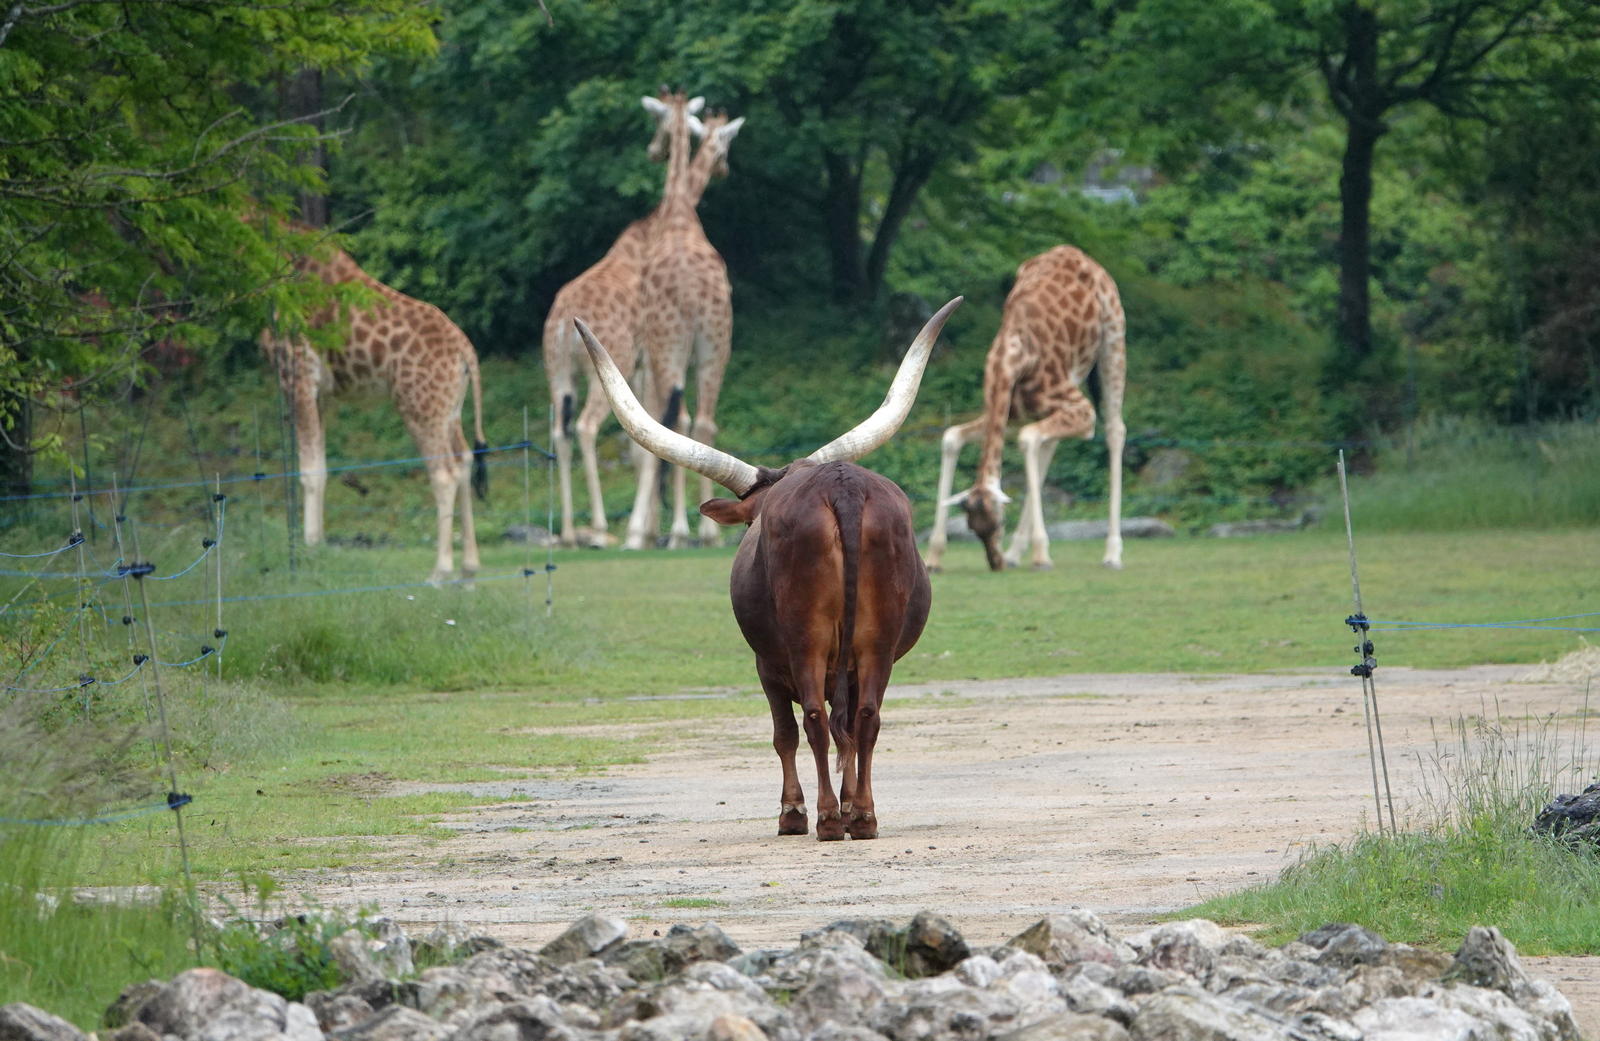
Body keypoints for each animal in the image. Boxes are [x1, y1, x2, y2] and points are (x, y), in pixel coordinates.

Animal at [260, 237, 488, 585]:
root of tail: (467, 355)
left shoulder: (298, 376)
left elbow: (309, 471)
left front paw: (309, 550)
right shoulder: (322, 393)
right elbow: (320, 466)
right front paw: (316, 547)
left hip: (419, 407)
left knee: (443, 474)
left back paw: (440, 571)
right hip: (449, 409)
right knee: (463, 460)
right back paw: (469, 568)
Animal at [539, 92, 704, 548]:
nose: (652, 150)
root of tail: (561, 324)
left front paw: (650, 529)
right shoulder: (650, 360)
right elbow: (666, 431)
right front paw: (659, 531)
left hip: (558, 371)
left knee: (560, 432)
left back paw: (568, 533)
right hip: (612, 362)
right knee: (587, 427)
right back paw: (597, 528)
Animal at [624, 96, 746, 551]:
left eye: (654, 123)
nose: (651, 150)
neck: (678, 211)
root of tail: (693, 293)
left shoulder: (647, 355)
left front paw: (643, 531)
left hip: (669, 348)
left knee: (673, 423)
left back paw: (675, 532)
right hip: (716, 344)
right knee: (704, 422)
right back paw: (708, 533)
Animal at [925, 245, 1127, 573]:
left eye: (999, 524)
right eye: (972, 527)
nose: (994, 563)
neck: (1008, 359)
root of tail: (1082, 256)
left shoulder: (1082, 411)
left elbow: (1028, 439)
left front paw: (1042, 554)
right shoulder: (1009, 412)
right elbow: (952, 437)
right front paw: (933, 557)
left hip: (1113, 338)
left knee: (1114, 429)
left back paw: (1112, 553)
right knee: (1049, 443)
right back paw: (1016, 552)